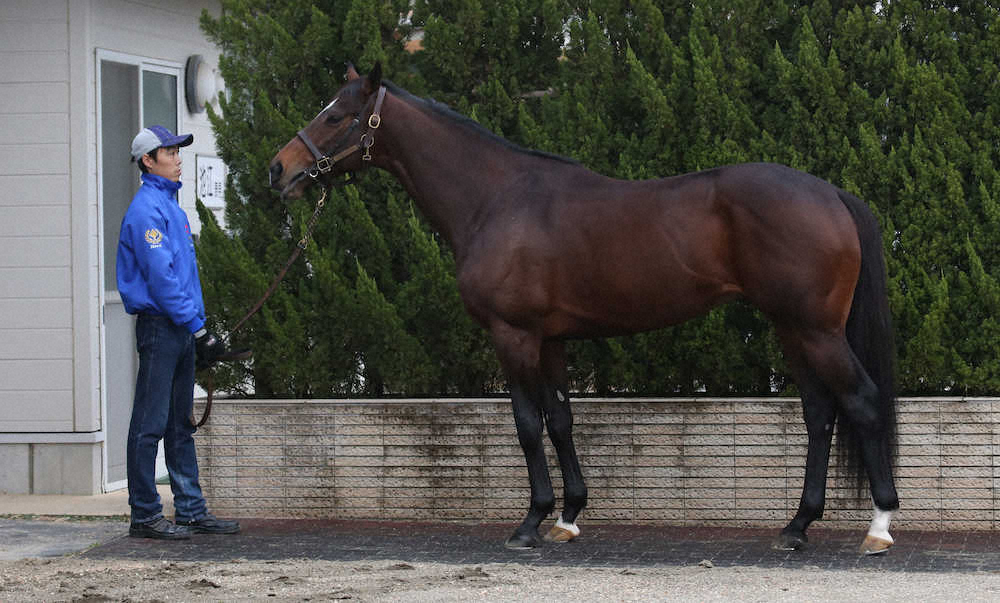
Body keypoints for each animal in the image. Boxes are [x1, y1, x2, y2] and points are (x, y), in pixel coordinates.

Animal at [268, 62, 900, 555]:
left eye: (336, 115)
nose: (279, 170)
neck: (497, 199)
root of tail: (830, 193)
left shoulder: (513, 335)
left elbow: (527, 424)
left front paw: (529, 523)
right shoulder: (551, 339)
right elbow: (560, 420)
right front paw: (568, 517)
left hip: (816, 330)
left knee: (864, 401)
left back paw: (879, 527)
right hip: (792, 329)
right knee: (819, 414)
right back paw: (796, 527)